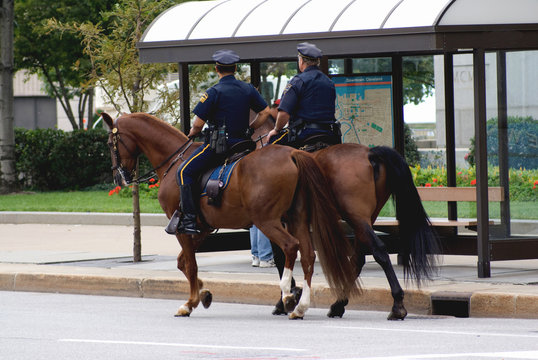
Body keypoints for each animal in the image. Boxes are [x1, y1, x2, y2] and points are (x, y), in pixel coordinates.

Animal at [102, 112, 358, 318]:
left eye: (110, 142)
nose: (118, 177)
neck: (174, 161)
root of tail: (292, 154)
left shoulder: (182, 227)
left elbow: (191, 264)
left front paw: (190, 302)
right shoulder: (203, 228)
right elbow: (183, 262)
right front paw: (204, 292)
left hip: (267, 220)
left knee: (290, 247)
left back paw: (287, 294)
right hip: (297, 218)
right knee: (307, 255)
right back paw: (301, 305)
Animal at [253, 116, 438, 320]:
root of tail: (370, 153)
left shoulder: (274, 221)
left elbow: (281, 257)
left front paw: (285, 299)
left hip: (355, 216)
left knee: (378, 251)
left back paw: (396, 305)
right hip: (365, 218)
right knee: (359, 258)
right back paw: (338, 304)